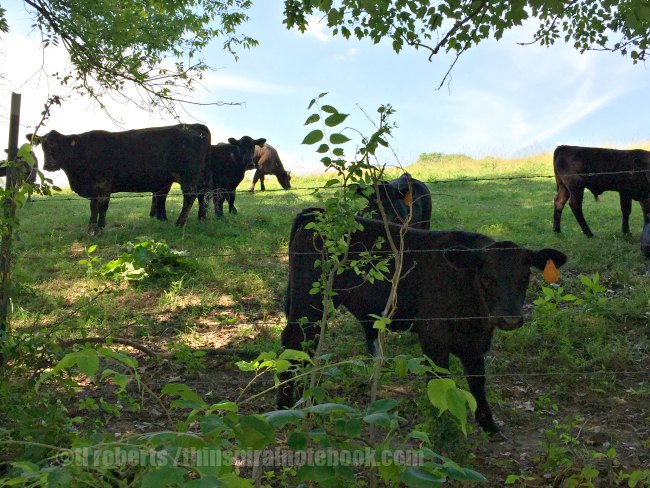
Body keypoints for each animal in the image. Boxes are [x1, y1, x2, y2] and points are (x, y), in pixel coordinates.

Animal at [28, 124, 211, 233]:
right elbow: (97, 207)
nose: (49, 165)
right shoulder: (98, 188)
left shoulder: (102, 185)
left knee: (190, 196)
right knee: (200, 194)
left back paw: (179, 223)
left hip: (188, 175)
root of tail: (192, 126)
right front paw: (95, 227)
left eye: (60, 146)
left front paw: (96, 229)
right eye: (43, 145)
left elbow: (99, 206)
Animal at [278, 207, 567, 434]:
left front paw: (489, 425)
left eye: (525, 277)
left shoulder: (474, 344)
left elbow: (477, 380)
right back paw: (284, 407)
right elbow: (440, 381)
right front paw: (444, 425)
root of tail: (317, 213)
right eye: (486, 278)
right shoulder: (433, 338)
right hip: (309, 305)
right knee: (293, 343)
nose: (510, 319)